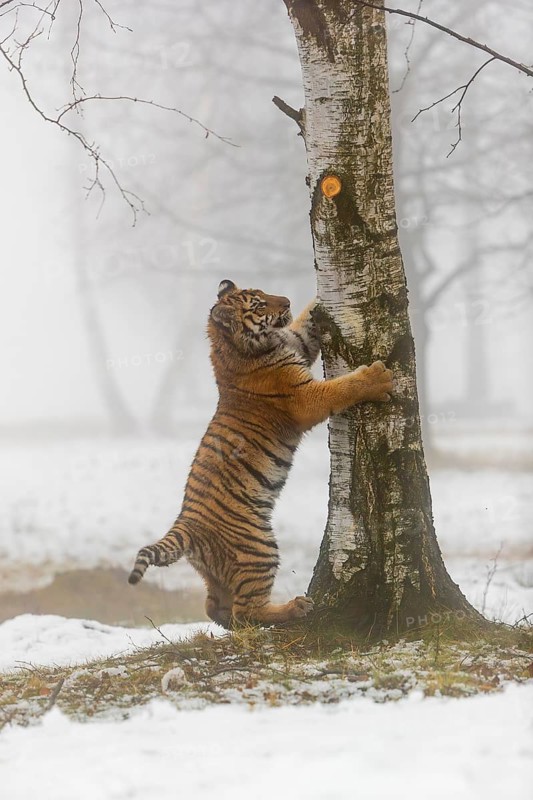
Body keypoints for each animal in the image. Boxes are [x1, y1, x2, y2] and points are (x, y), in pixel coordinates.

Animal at [128, 279, 393, 628]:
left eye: (264, 293)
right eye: (258, 305)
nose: (287, 300)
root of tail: (185, 525)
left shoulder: (298, 342)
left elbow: (305, 323)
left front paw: (317, 297)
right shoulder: (303, 397)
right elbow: (340, 389)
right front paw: (377, 378)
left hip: (218, 571)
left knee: (217, 608)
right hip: (259, 546)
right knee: (246, 610)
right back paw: (295, 608)